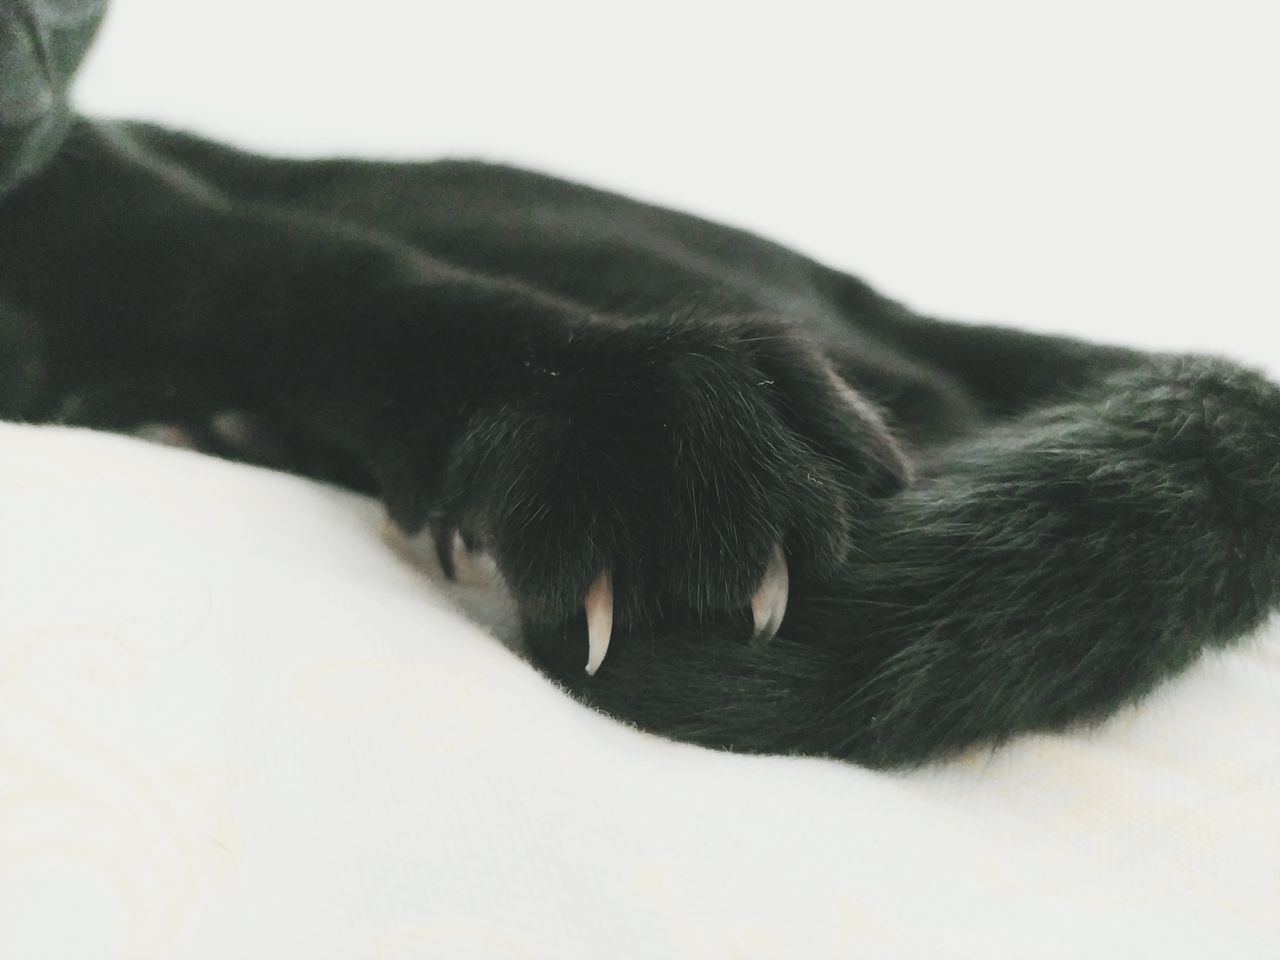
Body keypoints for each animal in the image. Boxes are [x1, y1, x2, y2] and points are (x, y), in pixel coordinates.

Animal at [2, 0, 1280, 768]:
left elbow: (354, 290)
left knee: (935, 412)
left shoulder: (183, 227)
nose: (18, 85)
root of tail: (867, 290)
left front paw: (636, 429)